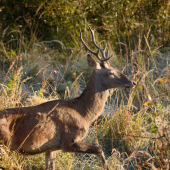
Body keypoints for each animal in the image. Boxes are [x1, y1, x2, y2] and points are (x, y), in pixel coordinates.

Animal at [0, 25, 136, 169]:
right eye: (110, 72)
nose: (132, 82)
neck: (83, 114)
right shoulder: (68, 140)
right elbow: (99, 149)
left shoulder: (51, 148)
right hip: (5, 144)